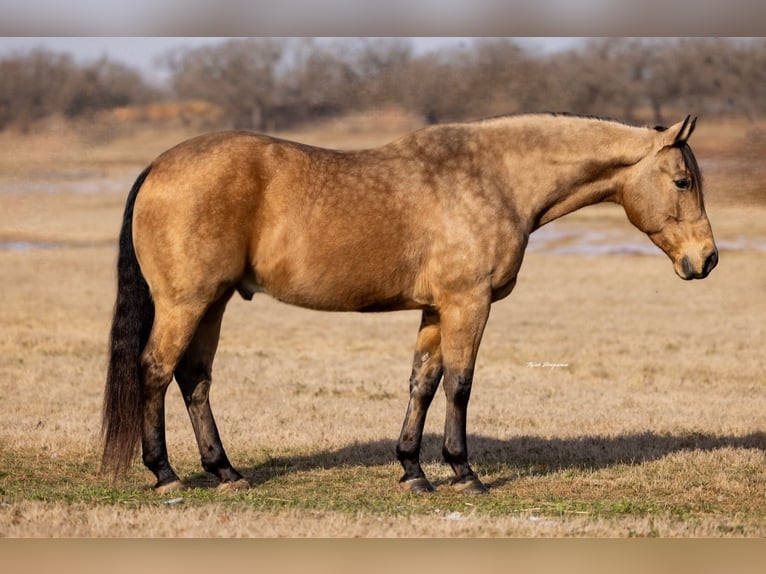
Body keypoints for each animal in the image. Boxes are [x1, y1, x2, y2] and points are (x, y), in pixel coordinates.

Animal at [101, 113, 718, 494]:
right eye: (683, 181)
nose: (706, 259)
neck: (495, 178)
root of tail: (158, 166)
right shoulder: (468, 304)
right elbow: (460, 384)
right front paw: (464, 472)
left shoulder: (435, 309)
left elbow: (423, 382)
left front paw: (412, 470)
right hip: (186, 302)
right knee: (156, 370)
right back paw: (165, 473)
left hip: (214, 302)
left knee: (194, 378)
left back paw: (225, 471)